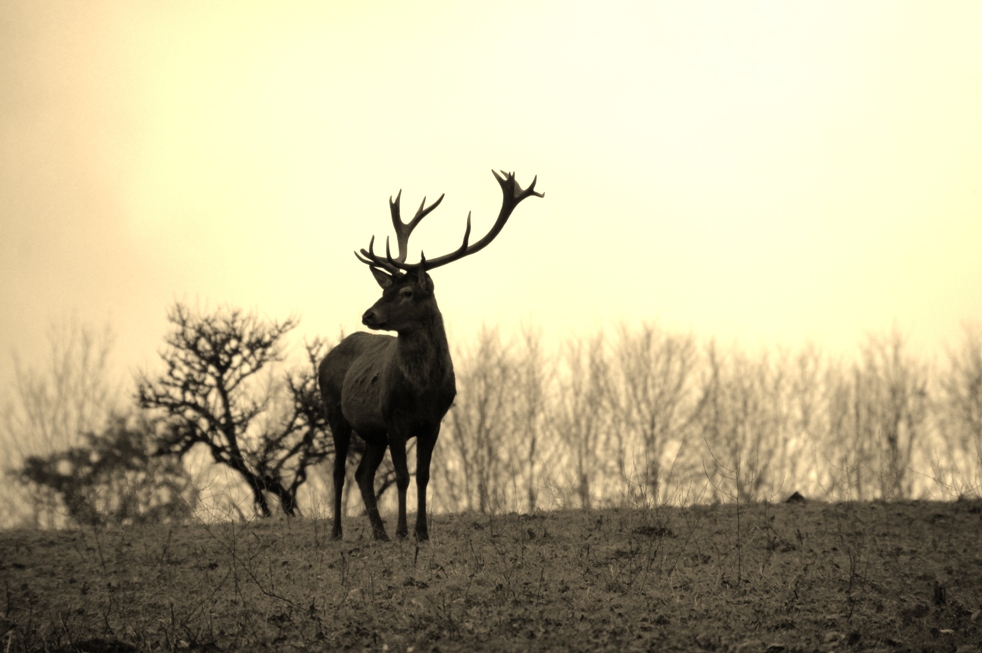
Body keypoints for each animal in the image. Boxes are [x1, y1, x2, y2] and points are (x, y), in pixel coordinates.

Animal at [320, 169, 540, 540]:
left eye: (407, 292)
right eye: (386, 289)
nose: (368, 314)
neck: (421, 390)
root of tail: (326, 357)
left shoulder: (433, 422)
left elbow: (422, 476)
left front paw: (421, 532)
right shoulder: (392, 419)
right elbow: (402, 477)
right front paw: (402, 532)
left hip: (372, 433)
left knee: (362, 474)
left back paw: (378, 533)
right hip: (334, 411)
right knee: (339, 472)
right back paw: (337, 532)